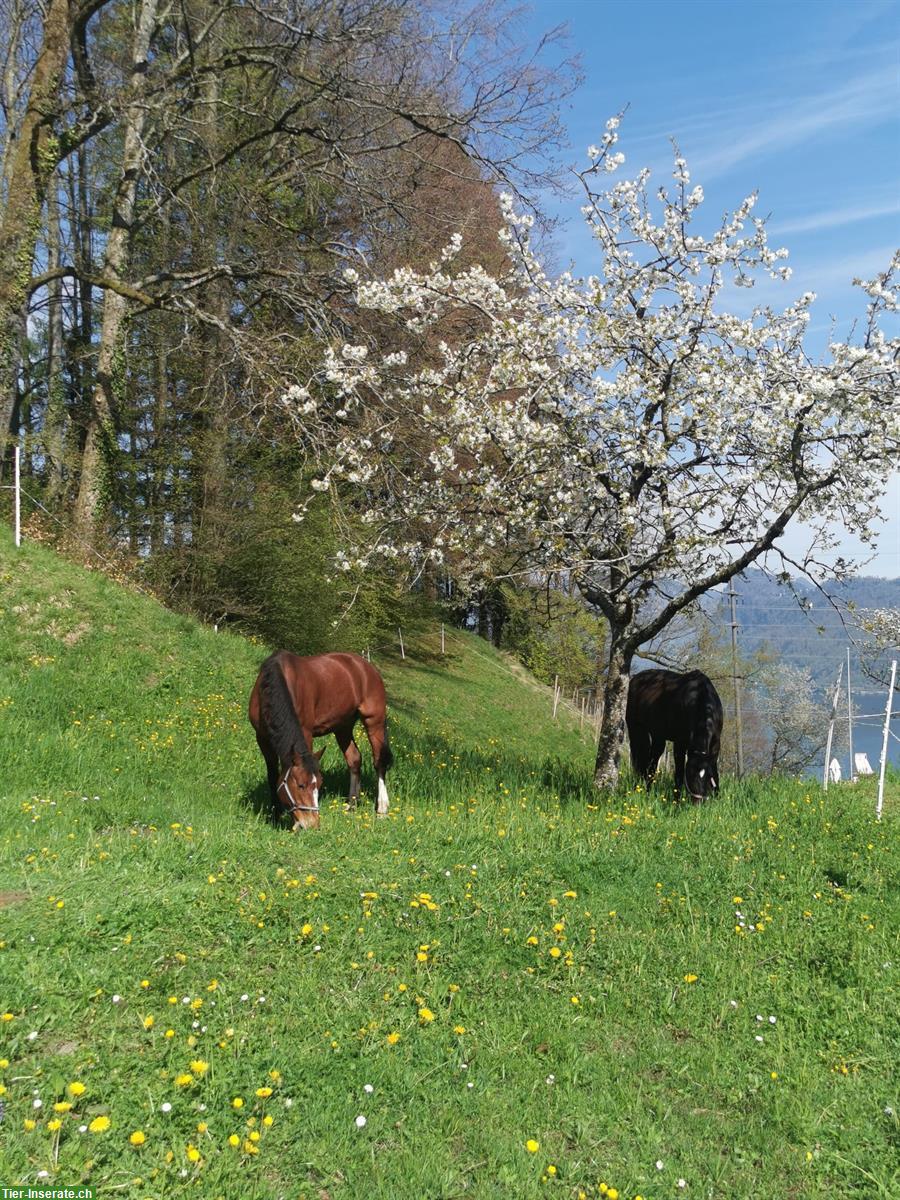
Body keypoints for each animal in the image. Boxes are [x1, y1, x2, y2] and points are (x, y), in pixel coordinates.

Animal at [252, 652, 396, 830]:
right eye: (300, 785)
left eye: (320, 784)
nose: (313, 824)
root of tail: (367, 667)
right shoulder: (262, 738)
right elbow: (272, 776)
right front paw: (275, 815)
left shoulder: (305, 733)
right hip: (343, 726)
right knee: (354, 759)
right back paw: (352, 805)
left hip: (374, 721)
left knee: (379, 762)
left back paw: (381, 809)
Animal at [628, 672, 724, 801]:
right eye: (690, 774)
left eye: (707, 777)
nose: (697, 802)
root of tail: (635, 678)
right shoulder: (680, 744)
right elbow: (679, 774)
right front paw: (676, 801)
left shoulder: (715, 745)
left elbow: (715, 773)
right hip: (636, 730)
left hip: (658, 736)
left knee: (652, 762)